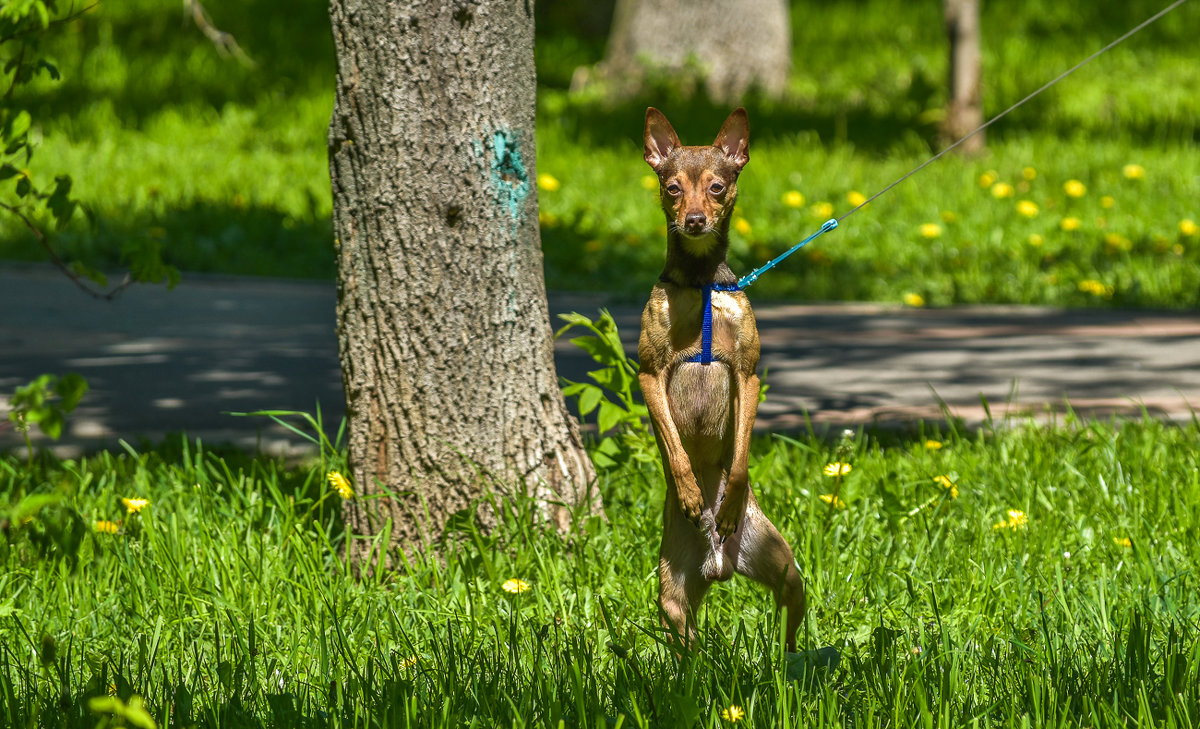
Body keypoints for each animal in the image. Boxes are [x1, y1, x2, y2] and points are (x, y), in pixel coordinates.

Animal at [638, 105, 806, 652]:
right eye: (672, 187)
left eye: (717, 186)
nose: (694, 219)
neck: (701, 284)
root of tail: (719, 564)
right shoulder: (649, 374)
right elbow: (674, 447)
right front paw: (691, 492)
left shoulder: (747, 375)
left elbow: (739, 457)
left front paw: (728, 493)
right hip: (671, 598)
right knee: (686, 649)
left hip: (786, 569)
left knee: (790, 627)